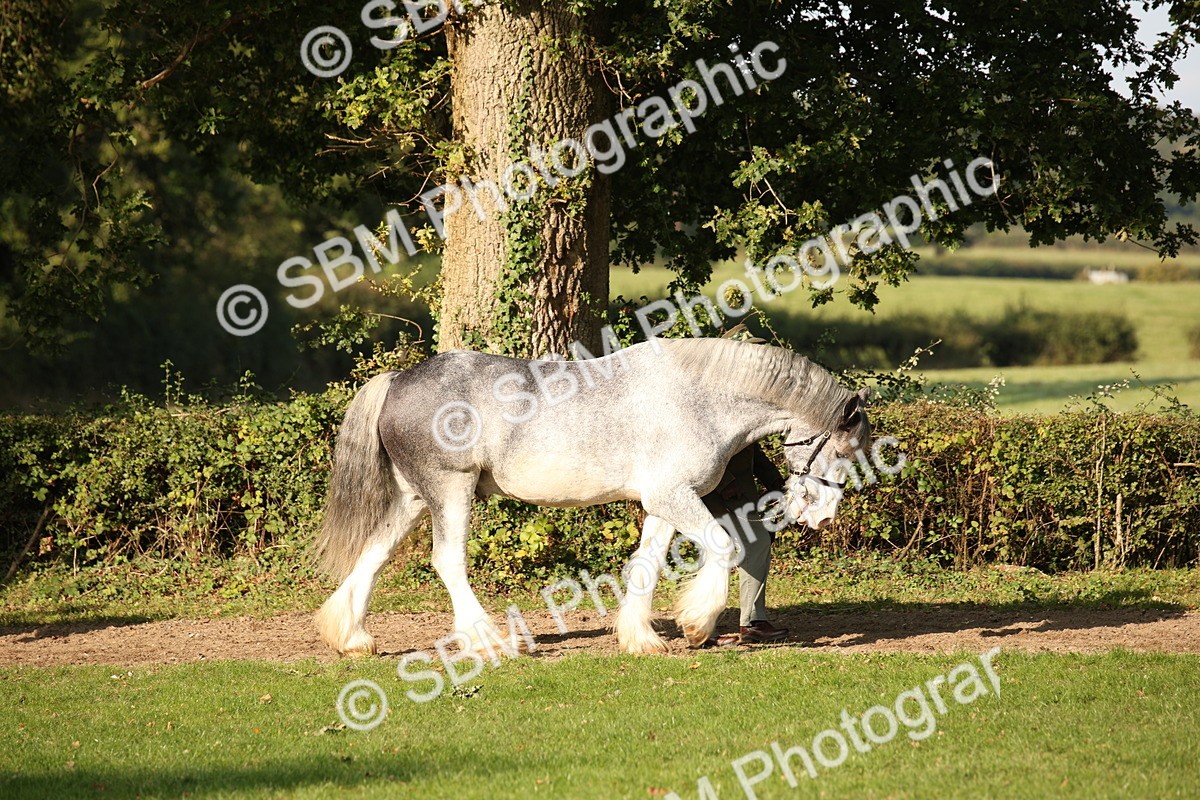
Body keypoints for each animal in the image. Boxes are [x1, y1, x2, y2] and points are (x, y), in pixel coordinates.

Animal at [313, 336, 872, 656]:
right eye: (846, 450)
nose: (824, 516)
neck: (701, 398)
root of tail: (399, 380)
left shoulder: (663, 503)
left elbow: (646, 564)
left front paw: (641, 639)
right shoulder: (676, 496)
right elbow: (725, 547)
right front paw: (695, 625)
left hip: (413, 497)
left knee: (374, 555)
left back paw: (352, 639)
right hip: (451, 489)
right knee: (447, 561)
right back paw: (491, 641)